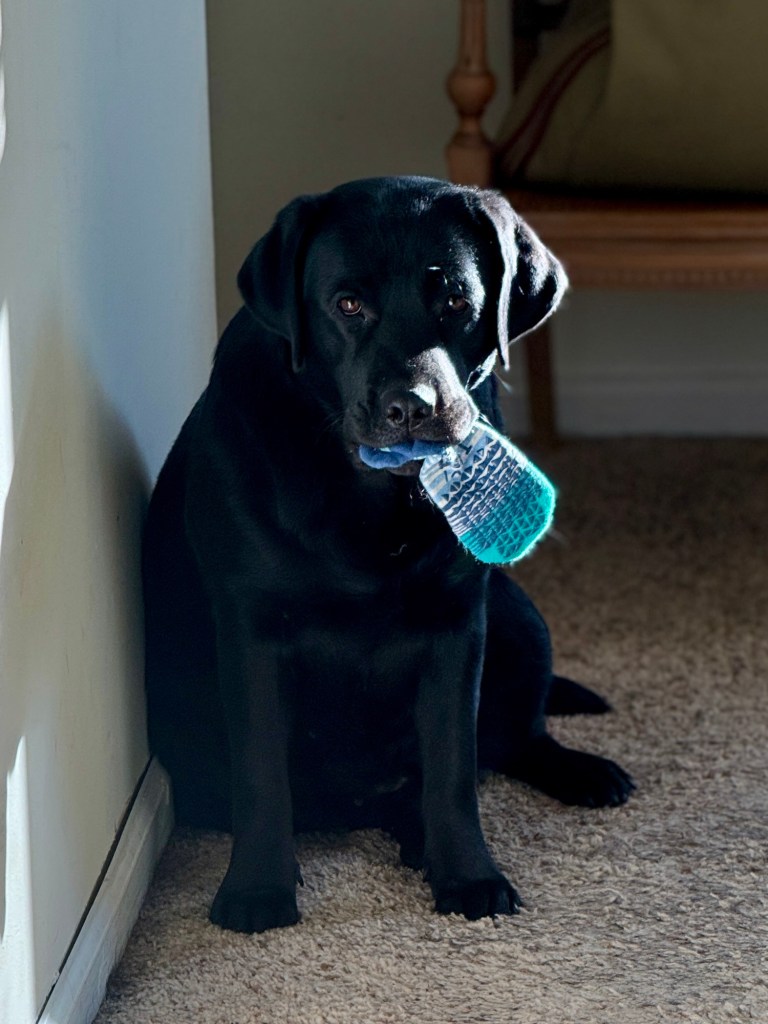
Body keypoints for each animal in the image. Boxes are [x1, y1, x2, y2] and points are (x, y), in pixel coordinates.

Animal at [143, 176, 634, 934]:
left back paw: (571, 777)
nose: (413, 406)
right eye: (348, 303)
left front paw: (468, 874)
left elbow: (455, 767)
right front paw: (257, 890)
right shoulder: (252, 629)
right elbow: (261, 772)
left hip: (519, 619)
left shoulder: (458, 623)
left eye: (457, 301)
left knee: (516, 740)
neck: (367, 496)